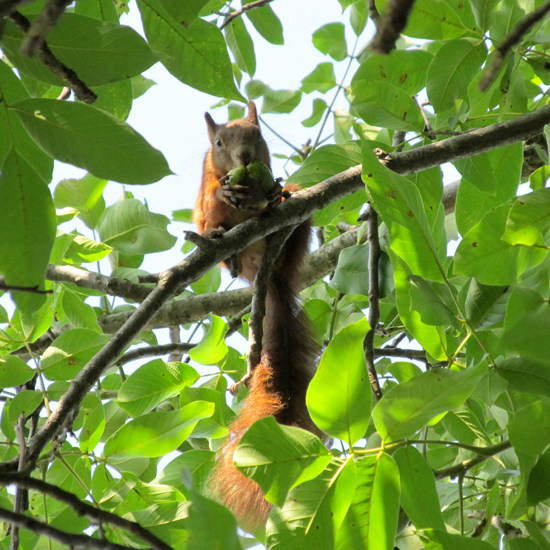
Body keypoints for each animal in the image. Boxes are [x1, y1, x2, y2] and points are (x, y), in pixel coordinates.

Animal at [195, 101, 322, 532]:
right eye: (218, 142)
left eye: (259, 134)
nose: (245, 157)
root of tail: (268, 277)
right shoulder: (205, 192)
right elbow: (211, 201)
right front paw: (227, 190)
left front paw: (270, 189)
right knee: (215, 235)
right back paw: (227, 251)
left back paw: (283, 202)